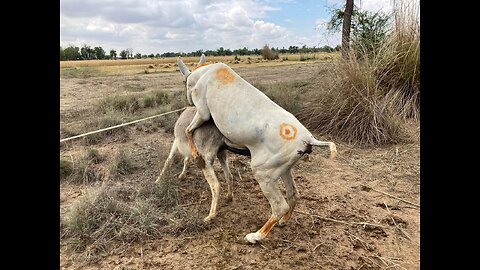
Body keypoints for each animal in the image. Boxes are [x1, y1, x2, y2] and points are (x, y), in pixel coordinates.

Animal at [177, 54, 338, 243]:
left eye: (184, 82)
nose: (187, 100)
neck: (206, 72)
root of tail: (308, 139)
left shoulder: (202, 113)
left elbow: (188, 130)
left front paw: (195, 154)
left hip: (263, 174)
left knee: (279, 206)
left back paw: (255, 236)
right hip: (285, 170)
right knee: (293, 195)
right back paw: (283, 222)